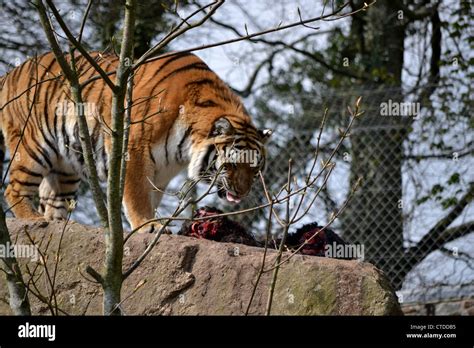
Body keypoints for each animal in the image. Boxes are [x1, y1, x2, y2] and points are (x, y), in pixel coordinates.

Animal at [0, 51, 272, 231]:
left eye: (255, 170)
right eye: (232, 165)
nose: (242, 193)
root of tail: (11, 72)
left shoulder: (162, 170)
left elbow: (151, 197)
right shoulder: (132, 149)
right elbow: (137, 195)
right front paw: (147, 225)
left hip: (65, 165)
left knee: (51, 196)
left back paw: (58, 225)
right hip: (33, 146)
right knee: (13, 189)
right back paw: (33, 220)